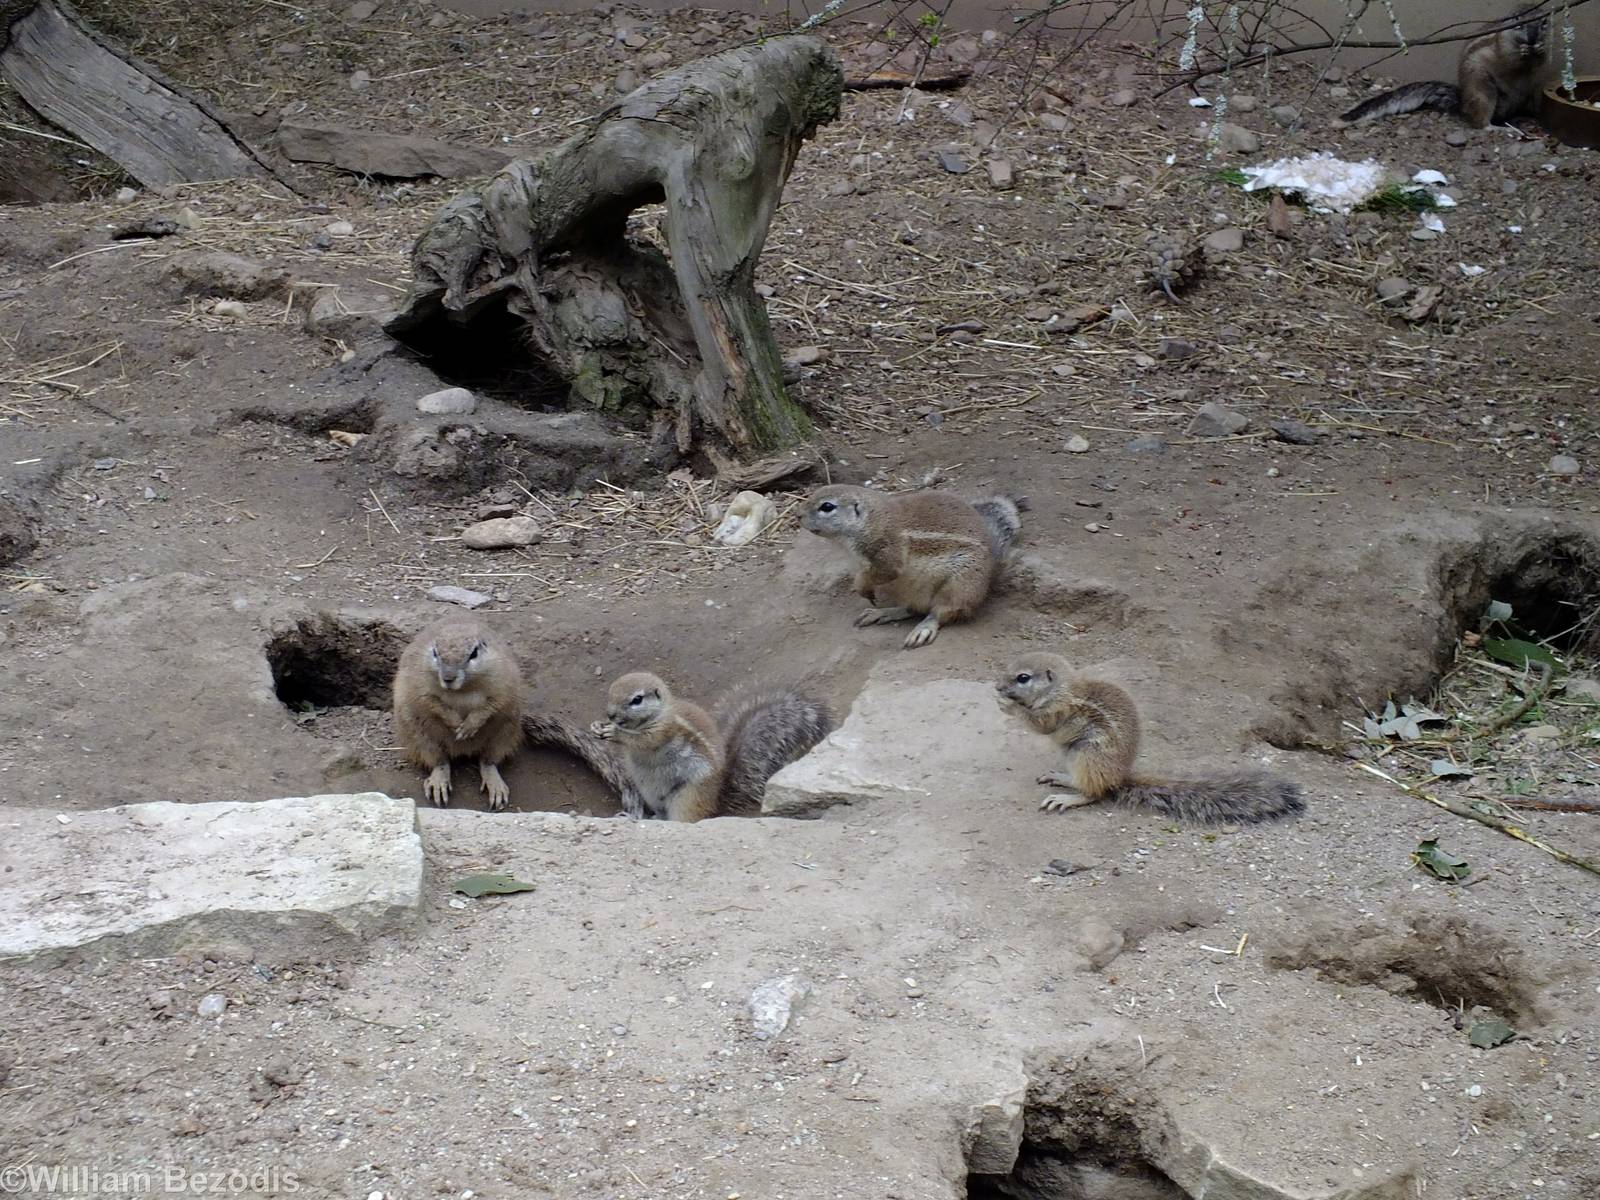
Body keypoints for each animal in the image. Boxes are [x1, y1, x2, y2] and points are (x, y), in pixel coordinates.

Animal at [392, 619, 524, 810]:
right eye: (435, 652)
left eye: (473, 654)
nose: (448, 678)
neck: (462, 690)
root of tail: (462, 751)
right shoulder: (418, 684)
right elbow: (433, 702)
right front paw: (455, 723)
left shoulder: (504, 681)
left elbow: (492, 704)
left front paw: (468, 726)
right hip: (418, 735)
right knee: (440, 761)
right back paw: (439, 783)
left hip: (506, 732)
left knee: (488, 761)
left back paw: (496, 787)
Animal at [571, 671, 833, 822]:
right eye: (611, 693)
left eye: (637, 699)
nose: (611, 715)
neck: (661, 712)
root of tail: (716, 800)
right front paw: (598, 726)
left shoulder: (662, 730)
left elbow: (642, 740)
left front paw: (615, 732)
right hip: (651, 794)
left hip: (688, 796)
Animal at [800, 484, 1023, 649]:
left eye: (827, 506)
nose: (798, 516)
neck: (869, 519)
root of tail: (992, 572)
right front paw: (863, 590)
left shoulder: (888, 552)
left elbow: (881, 572)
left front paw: (862, 587)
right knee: (913, 609)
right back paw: (882, 613)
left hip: (960, 586)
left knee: (941, 612)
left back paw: (923, 629)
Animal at [995, 653, 1304, 826]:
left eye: (1023, 677)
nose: (997, 686)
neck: (1060, 688)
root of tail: (1120, 777)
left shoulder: (1057, 709)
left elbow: (1041, 725)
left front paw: (1009, 707)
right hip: (1073, 754)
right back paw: (1060, 777)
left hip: (1087, 753)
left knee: (1095, 793)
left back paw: (1068, 798)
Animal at [1339, 8, 1551, 128]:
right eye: (1519, 23)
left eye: (1544, 22)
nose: (1532, 38)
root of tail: (1463, 104)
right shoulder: (1502, 48)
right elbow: (1510, 60)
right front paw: (1524, 50)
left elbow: (1541, 61)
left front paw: (1539, 49)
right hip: (1484, 92)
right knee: (1480, 122)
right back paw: (1495, 127)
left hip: (1528, 93)